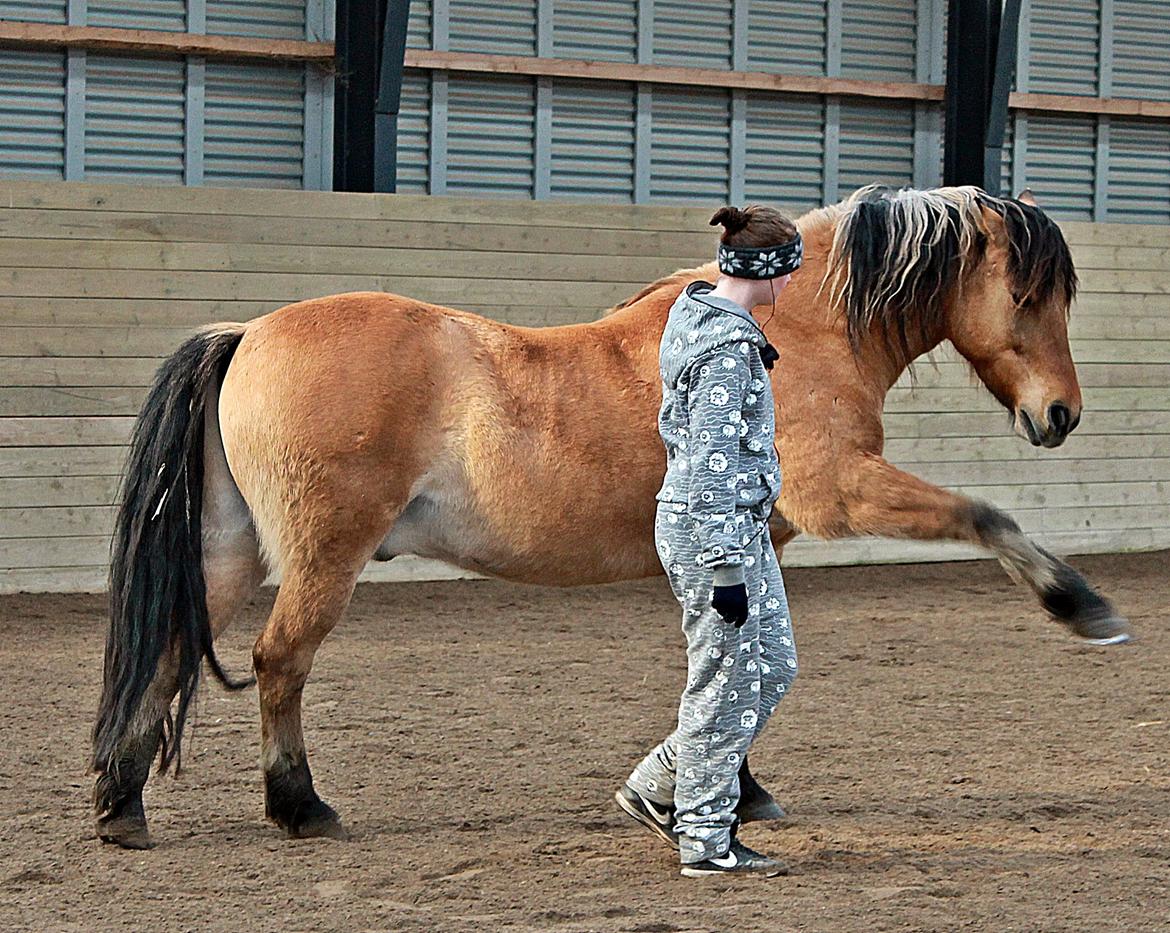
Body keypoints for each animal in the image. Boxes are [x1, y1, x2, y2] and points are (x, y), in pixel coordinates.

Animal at [86, 183, 1127, 852]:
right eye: (1026, 293)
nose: (1061, 414)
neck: (790, 330)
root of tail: (248, 333)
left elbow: (732, 668)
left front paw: (732, 790)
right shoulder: (840, 491)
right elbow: (985, 516)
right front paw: (1080, 605)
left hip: (231, 554)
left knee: (170, 652)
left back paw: (122, 808)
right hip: (320, 557)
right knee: (279, 662)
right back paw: (299, 806)